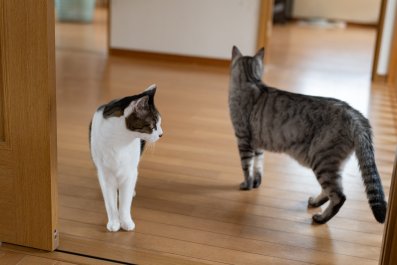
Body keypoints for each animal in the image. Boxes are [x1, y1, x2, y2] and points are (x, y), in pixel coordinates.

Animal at [89, 84, 162, 231]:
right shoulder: (105, 174)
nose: (161, 134)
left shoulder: (129, 172)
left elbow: (125, 201)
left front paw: (126, 222)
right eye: (153, 126)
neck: (120, 140)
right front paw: (114, 223)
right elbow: (110, 202)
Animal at [227, 45, 386, 223]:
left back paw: (321, 218)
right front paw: (256, 183)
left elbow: (246, 167)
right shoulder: (257, 144)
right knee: (330, 191)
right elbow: (258, 165)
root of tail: (356, 115)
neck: (250, 80)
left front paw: (246, 185)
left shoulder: (243, 139)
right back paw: (315, 202)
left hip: (322, 160)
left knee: (339, 196)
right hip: (332, 164)